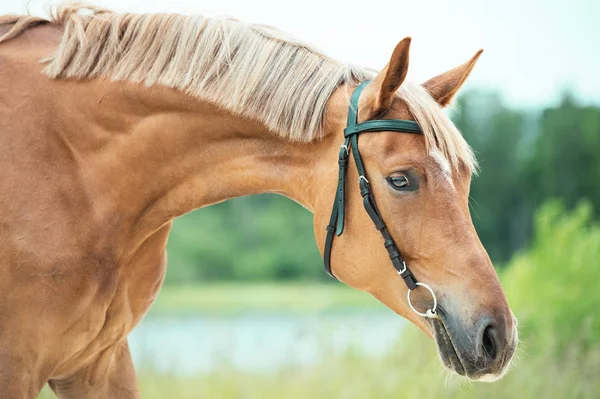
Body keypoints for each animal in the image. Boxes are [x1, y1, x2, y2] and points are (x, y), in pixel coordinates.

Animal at [0, 4, 516, 398]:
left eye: (466, 180)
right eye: (401, 180)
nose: (499, 336)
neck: (75, 172)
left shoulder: (99, 362)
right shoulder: (20, 366)